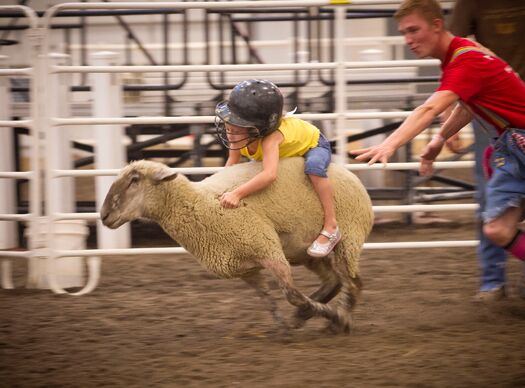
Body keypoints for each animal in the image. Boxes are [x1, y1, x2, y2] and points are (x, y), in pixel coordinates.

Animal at [99, 158, 372, 334]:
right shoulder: (245, 269)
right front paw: (287, 325)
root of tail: (349, 174)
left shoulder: (268, 249)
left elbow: (292, 296)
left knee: (353, 282)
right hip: (307, 252)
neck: (204, 205)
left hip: (348, 238)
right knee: (334, 281)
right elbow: (269, 301)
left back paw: (340, 320)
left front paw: (330, 315)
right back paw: (314, 316)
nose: (103, 215)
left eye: (134, 180)